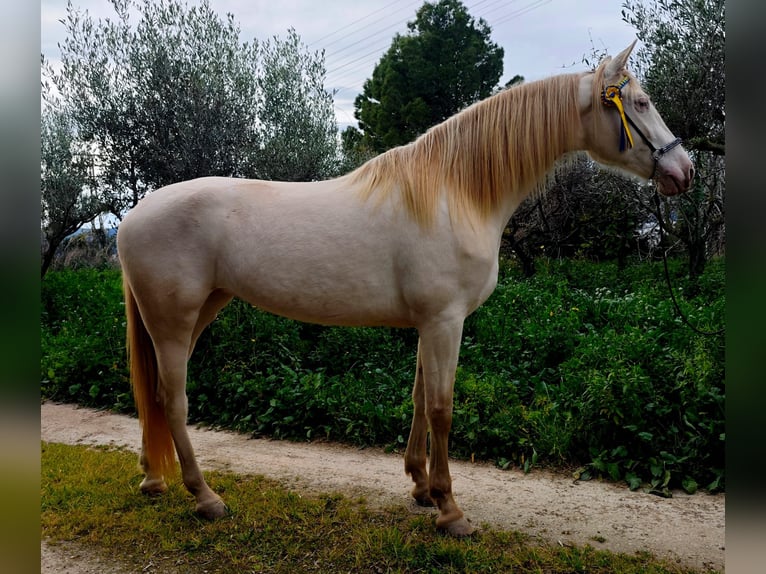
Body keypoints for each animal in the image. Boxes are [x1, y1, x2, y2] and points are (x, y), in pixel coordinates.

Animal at [115, 41, 696, 540]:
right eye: (640, 102)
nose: (684, 170)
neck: (455, 191)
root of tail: (133, 215)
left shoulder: (428, 323)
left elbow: (418, 400)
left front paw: (420, 486)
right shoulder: (445, 321)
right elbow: (441, 408)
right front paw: (450, 509)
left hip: (198, 313)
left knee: (156, 397)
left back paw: (153, 477)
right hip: (173, 321)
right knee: (172, 399)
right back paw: (205, 497)